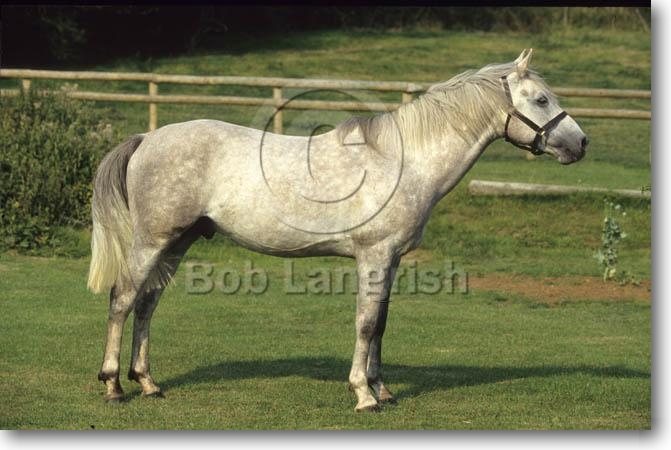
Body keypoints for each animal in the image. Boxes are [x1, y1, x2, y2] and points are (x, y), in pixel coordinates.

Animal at [87, 49, 588, 412]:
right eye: (541, 99)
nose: (581, 143)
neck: (403, 162)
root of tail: (147, 139)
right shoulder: (373, 255)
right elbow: (365, 323)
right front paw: (363, 395)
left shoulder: (390, 261)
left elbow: (381, 323)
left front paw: (383, 389)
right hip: (152, 241)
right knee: (123, 300)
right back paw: (113, 386)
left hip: (179, 241)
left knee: (147, 305)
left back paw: (147, 383)